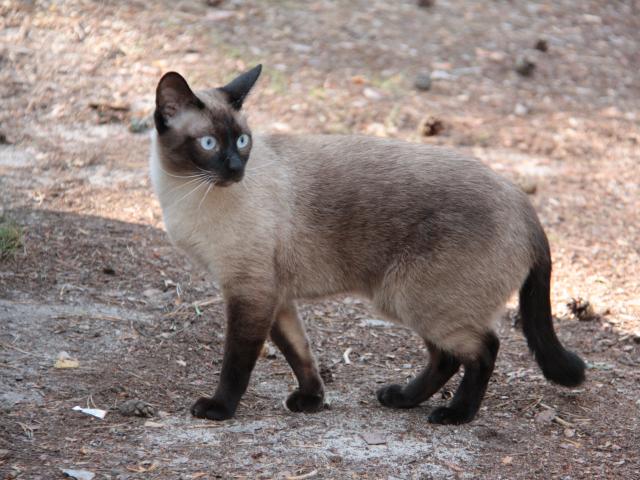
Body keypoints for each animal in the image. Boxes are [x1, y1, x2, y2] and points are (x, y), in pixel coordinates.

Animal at [149, 64, 584, 424]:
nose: (237, 169)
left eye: (241, 141)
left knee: (484, 350)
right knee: (446, 356)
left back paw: (455, 415)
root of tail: (524, 204)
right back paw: (402, 398)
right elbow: (299, 352)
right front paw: (311, 402)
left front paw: (219, 409)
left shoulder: (250, 293)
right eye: (209, 144)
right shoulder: (276, 297)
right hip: (411, 301)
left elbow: (237, 364)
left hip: (414, 299)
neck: (184, 191)